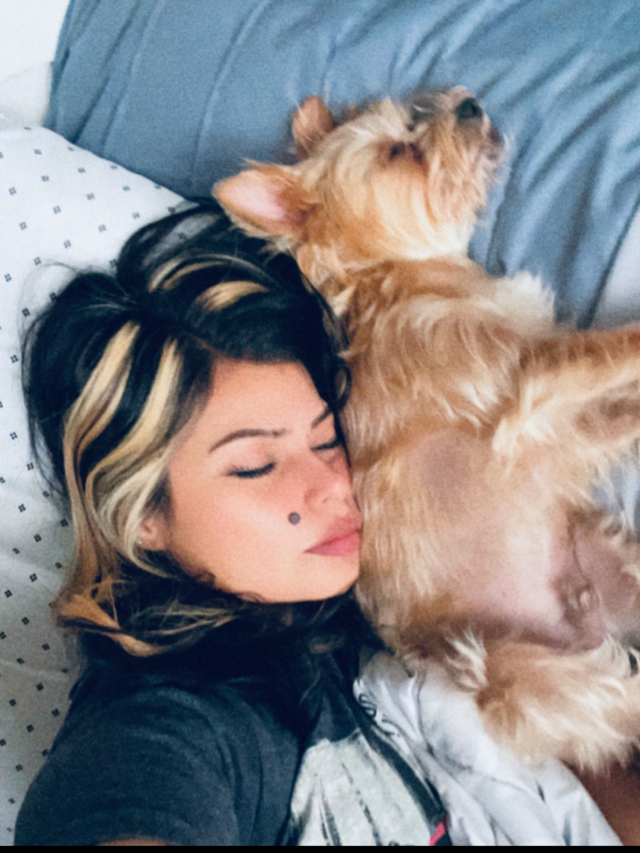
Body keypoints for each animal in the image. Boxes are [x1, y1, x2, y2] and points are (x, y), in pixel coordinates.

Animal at [215, 87, 640, 774]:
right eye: (398, 153)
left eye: (414, 116)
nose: (469, 102)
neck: (406, 273)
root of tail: (588, 620)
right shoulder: (533, 385)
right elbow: (622, 347)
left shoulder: (563, 416)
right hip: (524, 678)